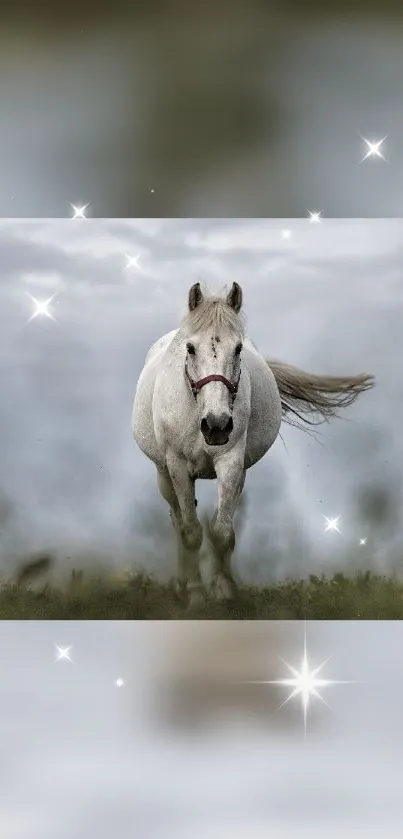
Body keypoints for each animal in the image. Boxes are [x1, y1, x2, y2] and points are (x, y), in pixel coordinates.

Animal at [133, 286, 376, 608]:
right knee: (177, 521)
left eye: (238, 349)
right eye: (190, 349)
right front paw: (196, 594)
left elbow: (222, 532)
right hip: (163, 474)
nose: (217, 425)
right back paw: (182, 583)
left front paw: (224, 590)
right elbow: (191, 532)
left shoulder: (231, 462)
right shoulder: (178, 466)